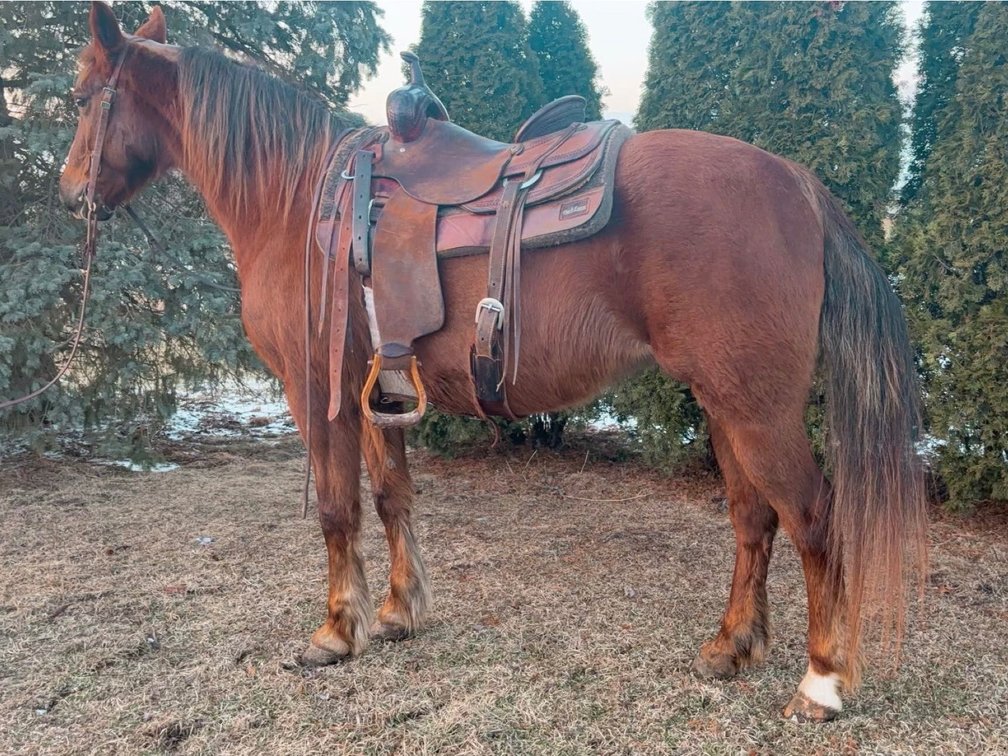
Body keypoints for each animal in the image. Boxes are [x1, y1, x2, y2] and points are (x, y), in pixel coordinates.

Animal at [59, 3, 926, 722]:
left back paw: (822, 682)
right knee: (754, 518)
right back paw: (732, 646)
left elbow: (337, 509)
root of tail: (797, 184)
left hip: (758, 409)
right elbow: (392, 496)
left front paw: (336, 632)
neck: (299, 202)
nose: (70, 194)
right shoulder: (374, 388)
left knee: (813, 517)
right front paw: (398, 613)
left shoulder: (316, 391)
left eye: (81, 98)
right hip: (724, 404)